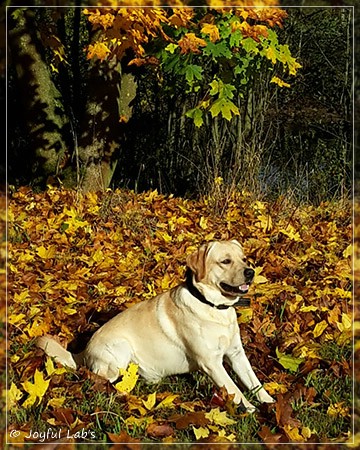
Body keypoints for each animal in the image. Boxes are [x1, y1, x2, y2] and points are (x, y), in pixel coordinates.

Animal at [37, 241, 272, 414]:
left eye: (244, 259)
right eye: (225, 261)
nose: (250, 272)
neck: (213, 307)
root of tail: (83, 350)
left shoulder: (237, 354)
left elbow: (254, 382)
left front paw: (269, 404)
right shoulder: (211, 362)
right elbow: (234, 389)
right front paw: (251, 410)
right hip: (119, 350)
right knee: (95, 376)